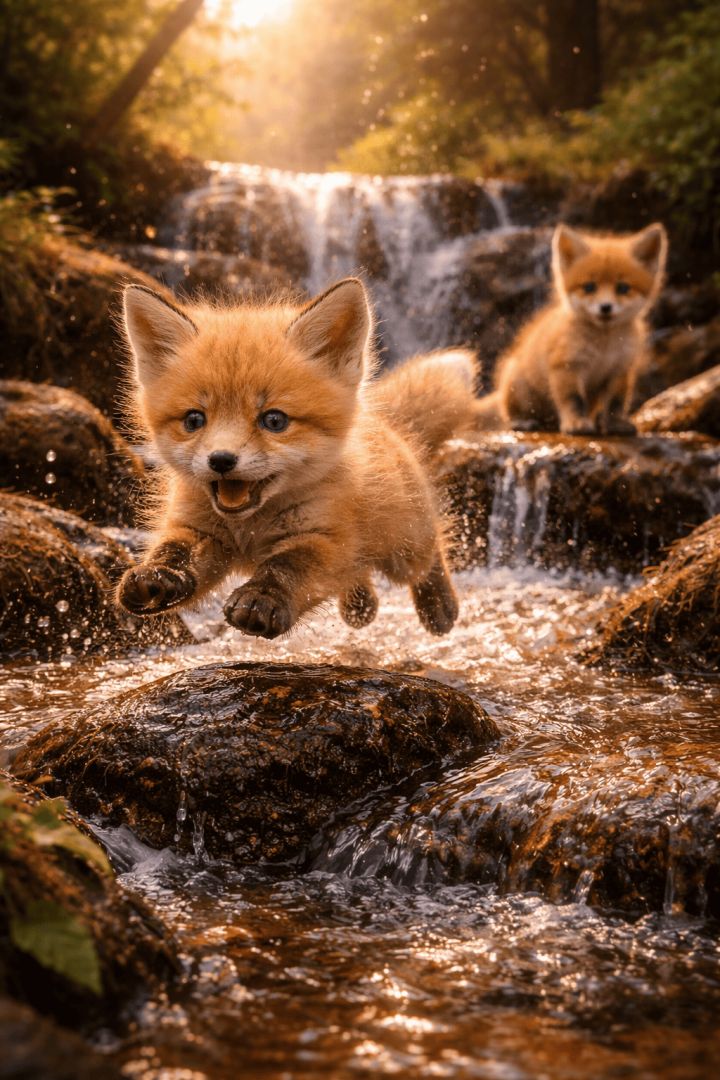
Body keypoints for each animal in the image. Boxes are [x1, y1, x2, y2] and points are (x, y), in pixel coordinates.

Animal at [116, 278, 479, 639]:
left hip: (403, 547)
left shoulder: (324, 537)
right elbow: (175, 554)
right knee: (359, 574)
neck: (249, 529)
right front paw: (157, 576)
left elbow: (286, 566)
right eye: (194, 420)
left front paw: (262, 599)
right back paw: (359, 607)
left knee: (429, 555)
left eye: (274, 420)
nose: (220, 460)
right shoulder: (200, 529)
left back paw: (439, 607)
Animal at [473, 222, 668, 435]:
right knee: (510, 414)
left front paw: (616, 424)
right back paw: (522, 422)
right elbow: (573, 400)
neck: (603, 346)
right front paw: (576, 423)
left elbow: (616, 403)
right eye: (589, 287)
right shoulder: (567, 366)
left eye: (623, 288)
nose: (605, 307)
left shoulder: (620, 369)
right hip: (518, 388)